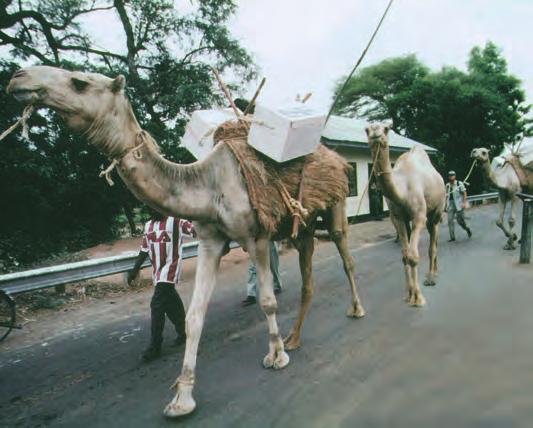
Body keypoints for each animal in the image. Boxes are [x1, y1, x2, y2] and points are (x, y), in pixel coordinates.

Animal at [7, 66, 366, 418]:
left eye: (79, 82)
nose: (17, 79)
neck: (208, 186)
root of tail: (333, 155)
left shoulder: (257, 236)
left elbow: (267, 301)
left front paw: (276, 357)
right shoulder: (210, 242)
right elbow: (194, 317)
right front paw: (182, 398)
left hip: (335, 201)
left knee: (345, 255)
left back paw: (355, 310)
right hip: (302, 223)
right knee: (308, 275)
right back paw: (294, 338)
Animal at [366, 123, 444, 308]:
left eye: (386, 129)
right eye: (366, 130)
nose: (375, 134)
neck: (402, 190)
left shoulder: (419, 217)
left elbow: (413, 257)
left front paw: (418, 298)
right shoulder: (398, 219)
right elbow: (404, 256)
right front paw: (409, 294)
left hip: (436, 212)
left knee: (433, 243)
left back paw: (431, 278)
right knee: (432, 240)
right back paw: (434, 273)